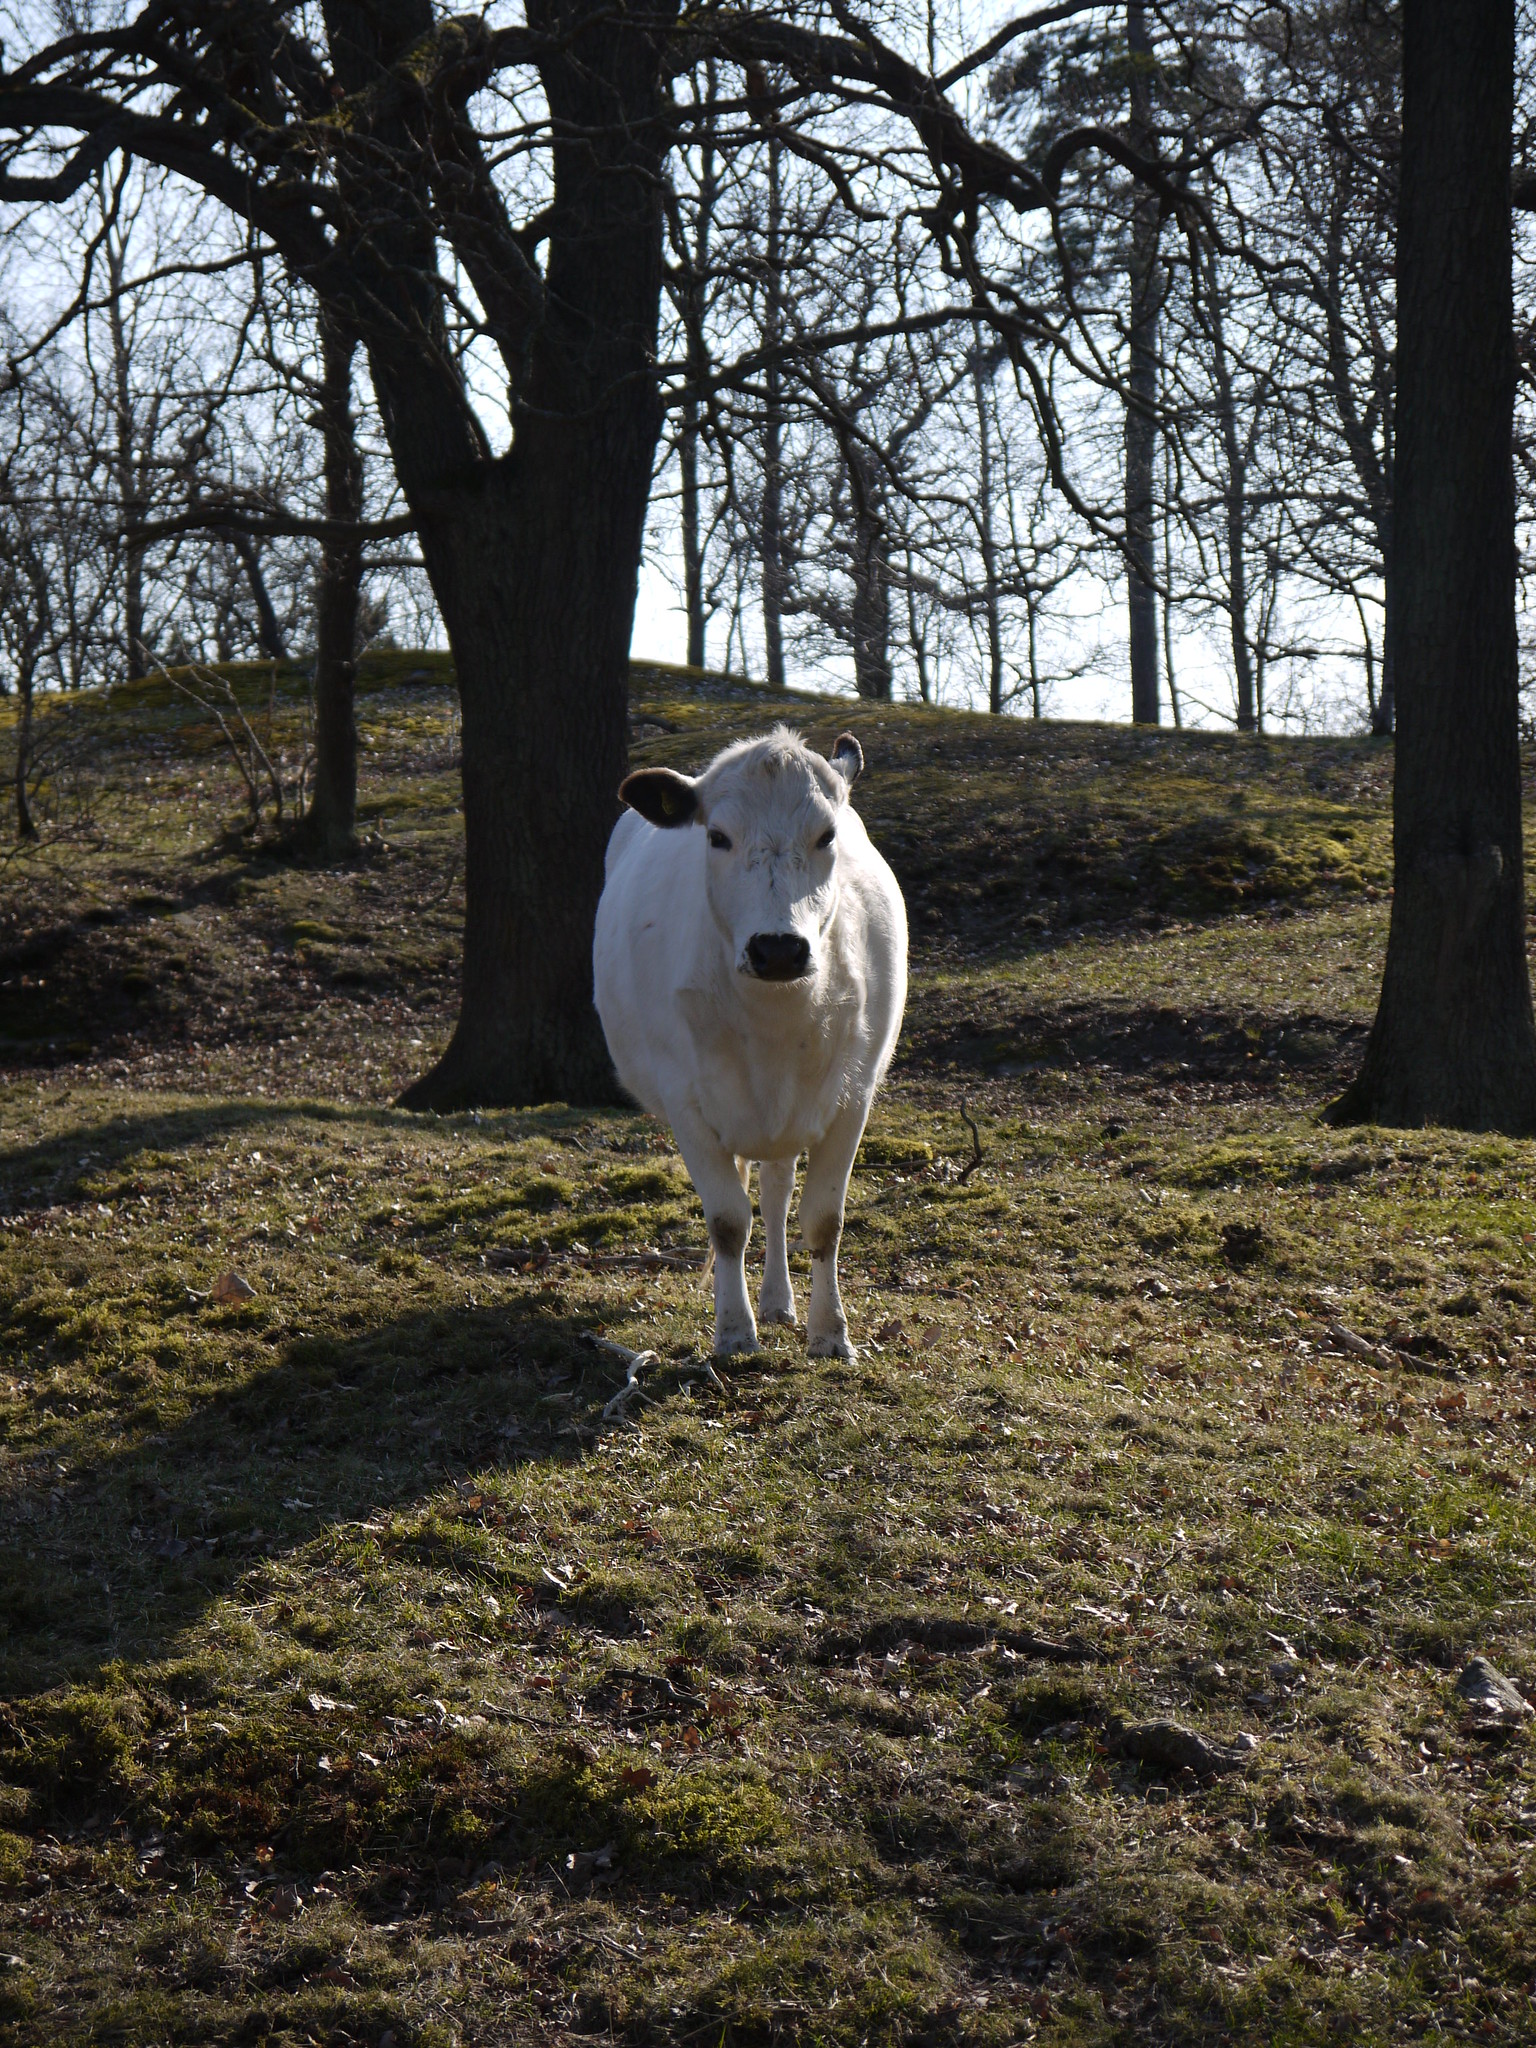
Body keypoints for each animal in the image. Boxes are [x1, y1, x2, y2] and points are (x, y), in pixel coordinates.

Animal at [593, 729, 909, 1351]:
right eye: (717, 836)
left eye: (827, 835)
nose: (778, 949)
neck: (774, 1023)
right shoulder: (687, 1103)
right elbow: (727, 1221)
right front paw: (735, 1331)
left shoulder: (853, 1097)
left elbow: (823, 1221)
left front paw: (830, 1333)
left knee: (777, 1193)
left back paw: (780, 1302)